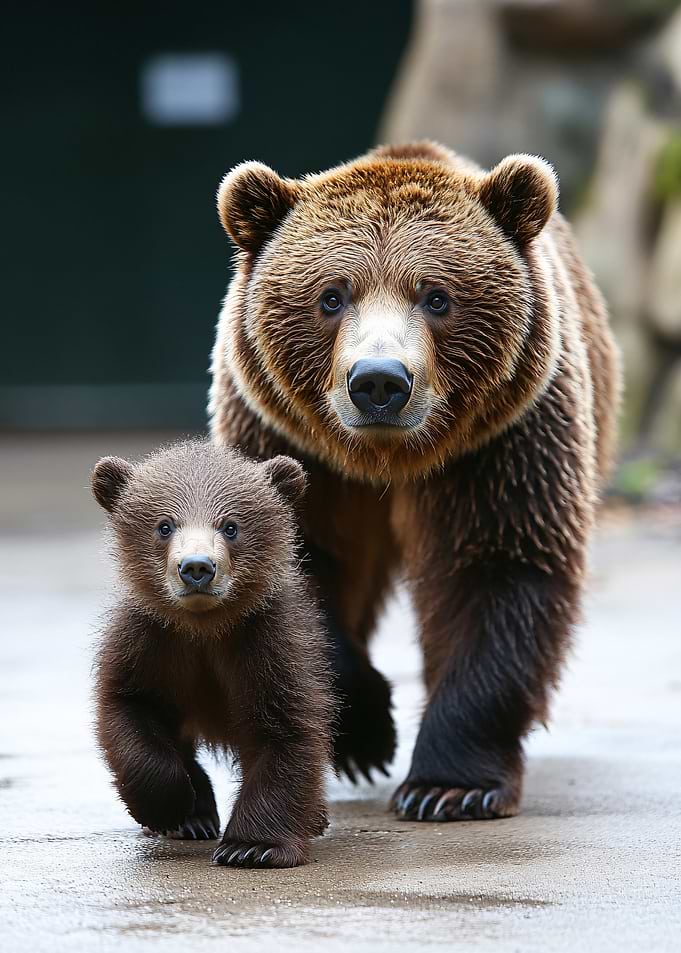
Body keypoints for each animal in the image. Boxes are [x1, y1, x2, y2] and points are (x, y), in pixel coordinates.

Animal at [91, 439, 334, 867]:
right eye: (164, 525)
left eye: (231, 526)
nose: (197, 567)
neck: (204, 627)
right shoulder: (151, 642)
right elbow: (128, 708)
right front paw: (170, 807)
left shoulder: (266, 646)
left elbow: (286, 730)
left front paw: (251, 846)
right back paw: (196, 816)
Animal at [208, 140, 621, 821]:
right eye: (331, 296)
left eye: (437, 296)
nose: (379, 381)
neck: (389, 461)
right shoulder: (288, 449)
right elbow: (296, 565)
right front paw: (363, 735)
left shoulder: (505, 445)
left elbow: (498, 573)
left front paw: (449, 784)